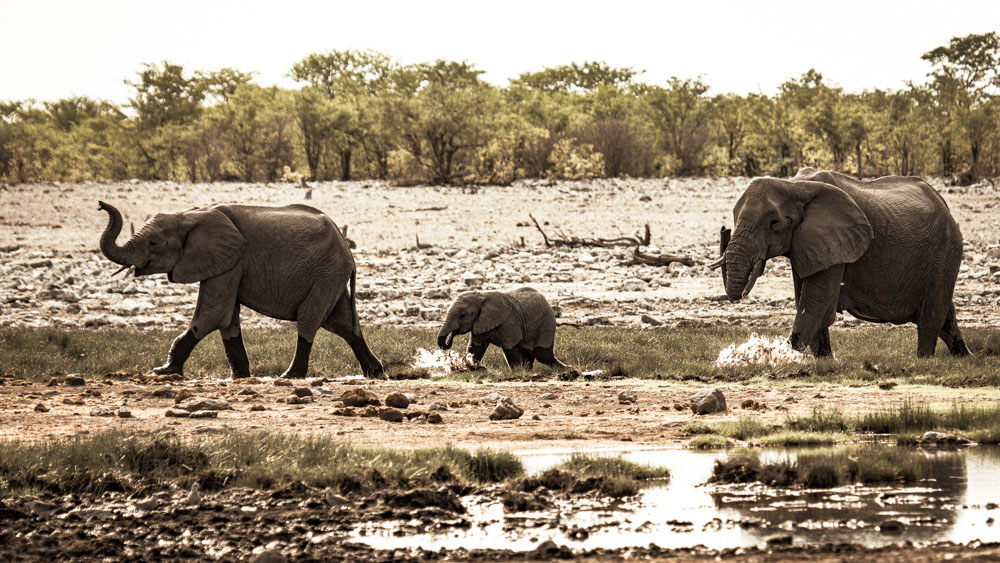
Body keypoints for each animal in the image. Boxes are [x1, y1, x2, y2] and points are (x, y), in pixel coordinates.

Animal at [97, 200, 384, 382]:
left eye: (154, 243)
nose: (101, 205)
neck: (189, 214)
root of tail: (346, 246)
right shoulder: (226, 262)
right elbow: (227, 320)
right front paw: (240, 377)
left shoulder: (230, 260)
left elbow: (212, 315)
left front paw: (163, 371)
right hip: (330, 274)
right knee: (342, 323)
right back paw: (376, 373)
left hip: (327, 271)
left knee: (310, 318)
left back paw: (291, 376)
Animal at [438, 288, 572, 372]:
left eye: (462, 315)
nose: (449, 341)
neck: (481, 295)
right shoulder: (480, 323)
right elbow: (476, 347)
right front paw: (473, 368)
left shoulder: (509, 322)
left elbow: (510, 346)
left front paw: (518, 371)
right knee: (531, 352)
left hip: (546, 323)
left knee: (542, 354)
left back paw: (569, 370)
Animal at [712, 167, 968, 360]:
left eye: (774, 223)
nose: (724, 228)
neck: (794, 185)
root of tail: (942, 202)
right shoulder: (808, 244)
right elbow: (806, 300)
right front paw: (824, 360)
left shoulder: (835, 242)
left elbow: (816, 303)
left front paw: (784, 356)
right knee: (946, 317)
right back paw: (964, 357)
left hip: (945, 250)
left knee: (930, 317)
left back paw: (924, 359)